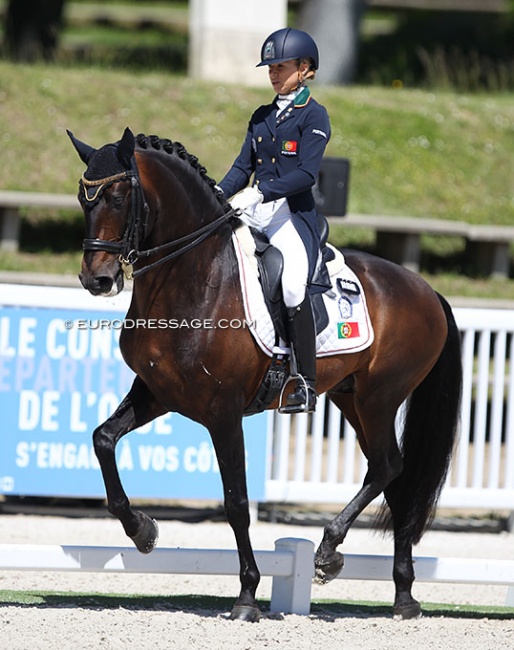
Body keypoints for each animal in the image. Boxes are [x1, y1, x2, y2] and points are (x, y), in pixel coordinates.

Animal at [67, 126, 460, 616]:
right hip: (352, 399)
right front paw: (142, 530)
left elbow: (236, 502)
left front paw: (247, 595)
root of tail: (426, 289)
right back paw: (401, 593)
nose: (96, 280)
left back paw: (329, 552)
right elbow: (102, 439)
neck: (194, 276)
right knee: (392, 476)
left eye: (119, 198)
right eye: (83, 199)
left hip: (380, 397)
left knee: (388, 467)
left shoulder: (222, 412)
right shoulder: (156, 393)